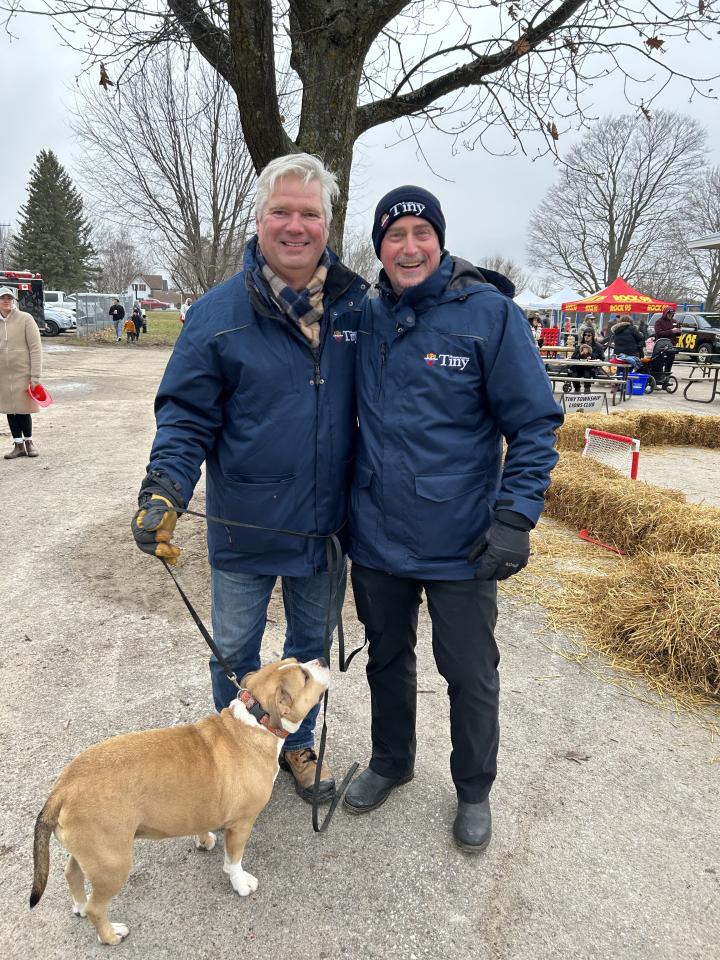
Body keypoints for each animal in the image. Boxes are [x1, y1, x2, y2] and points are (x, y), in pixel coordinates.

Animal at [29, 660, 330, 944]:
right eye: (304, 676)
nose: (323, 661)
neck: (255, 720)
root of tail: (62, 788)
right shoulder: (241, 824)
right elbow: (234, 861)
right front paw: (240, 882)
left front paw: (204, 840)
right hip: (113, 864)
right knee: (97, 908)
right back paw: (111, 935)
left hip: (94, 854)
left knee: (72, 873)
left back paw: (79, 905)